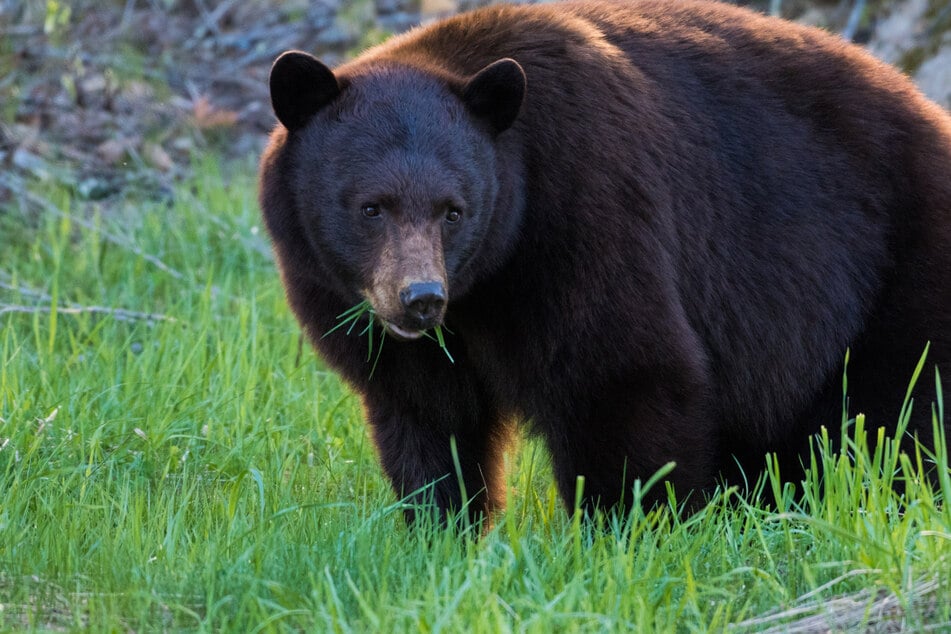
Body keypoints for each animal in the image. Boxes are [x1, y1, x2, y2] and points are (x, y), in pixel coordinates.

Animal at [258, 0, 951, 524]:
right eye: (371, 207)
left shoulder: (585, 206)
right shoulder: (373, 320)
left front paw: (626, 531)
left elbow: (621, 370)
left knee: (902, 410)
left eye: (453, 210)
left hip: (898, 261)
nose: (421, 298)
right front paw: (443, 530)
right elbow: (427, 418)